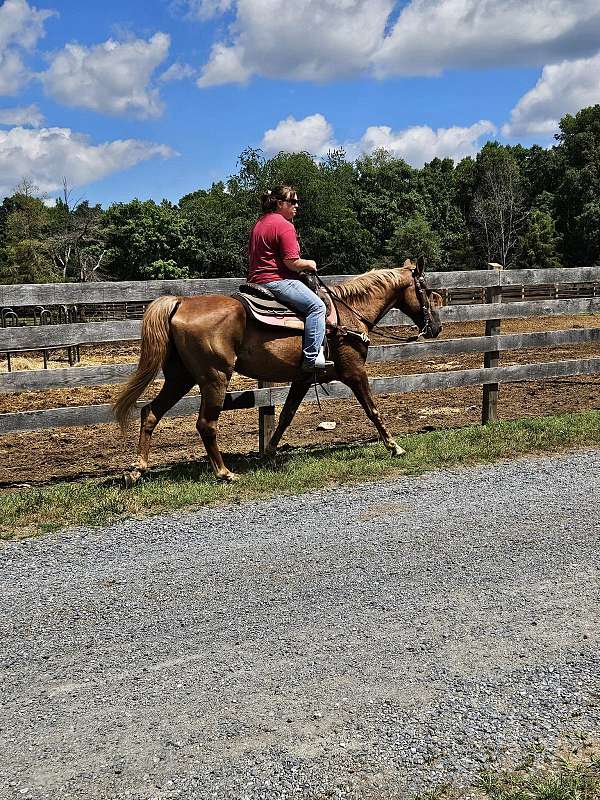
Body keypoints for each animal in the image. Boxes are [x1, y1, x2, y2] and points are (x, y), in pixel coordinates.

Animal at [113, 258, 440, 482]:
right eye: (426, 290)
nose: (435, 328)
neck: (347, 314)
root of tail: (180, 302)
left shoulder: (303, 378)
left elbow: (286, 415)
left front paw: (269, 453)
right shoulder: (354, 372)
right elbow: (373, 410)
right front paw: (394, 446)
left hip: (181, 378)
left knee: (150, 413)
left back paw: (137, 470)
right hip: (213, 378)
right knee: (205, 425)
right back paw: (224, 472)